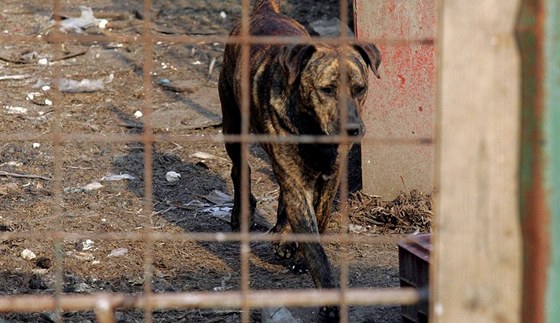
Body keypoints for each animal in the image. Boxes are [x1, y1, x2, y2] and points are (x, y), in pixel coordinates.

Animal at [219, 0, 380, 322]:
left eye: (360, 88)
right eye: (326, 89)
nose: (353, 129)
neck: (312, 127)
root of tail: (264, 10)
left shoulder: (329, 178)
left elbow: (319, 217)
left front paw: (294, 245)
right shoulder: (295, 178)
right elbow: (316, 250)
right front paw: (329, 301)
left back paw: (283, 234)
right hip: (232, 125)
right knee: (240, 169)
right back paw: (243, 213)